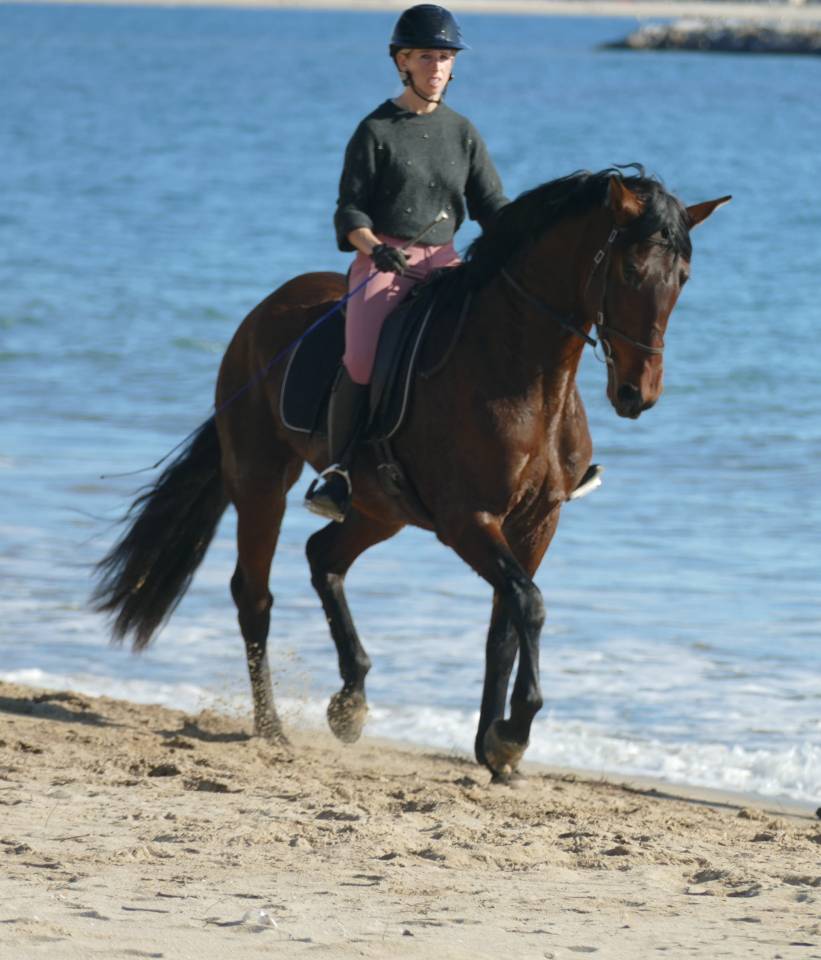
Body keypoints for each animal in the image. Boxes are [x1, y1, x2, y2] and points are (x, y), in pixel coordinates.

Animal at [92, 167, 729, 780]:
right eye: (629, 268)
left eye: (683, 278)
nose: (637, 394)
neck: (527, 375)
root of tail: (265, 309)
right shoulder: (469, 520)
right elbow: (529, 604)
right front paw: (512, 733)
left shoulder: (536, 522)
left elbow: (505, 624)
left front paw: (493, 748)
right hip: (261, 480)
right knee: (255, 595)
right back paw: (272, 728)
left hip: (380, 509)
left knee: (324, 557)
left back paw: (349, 702)